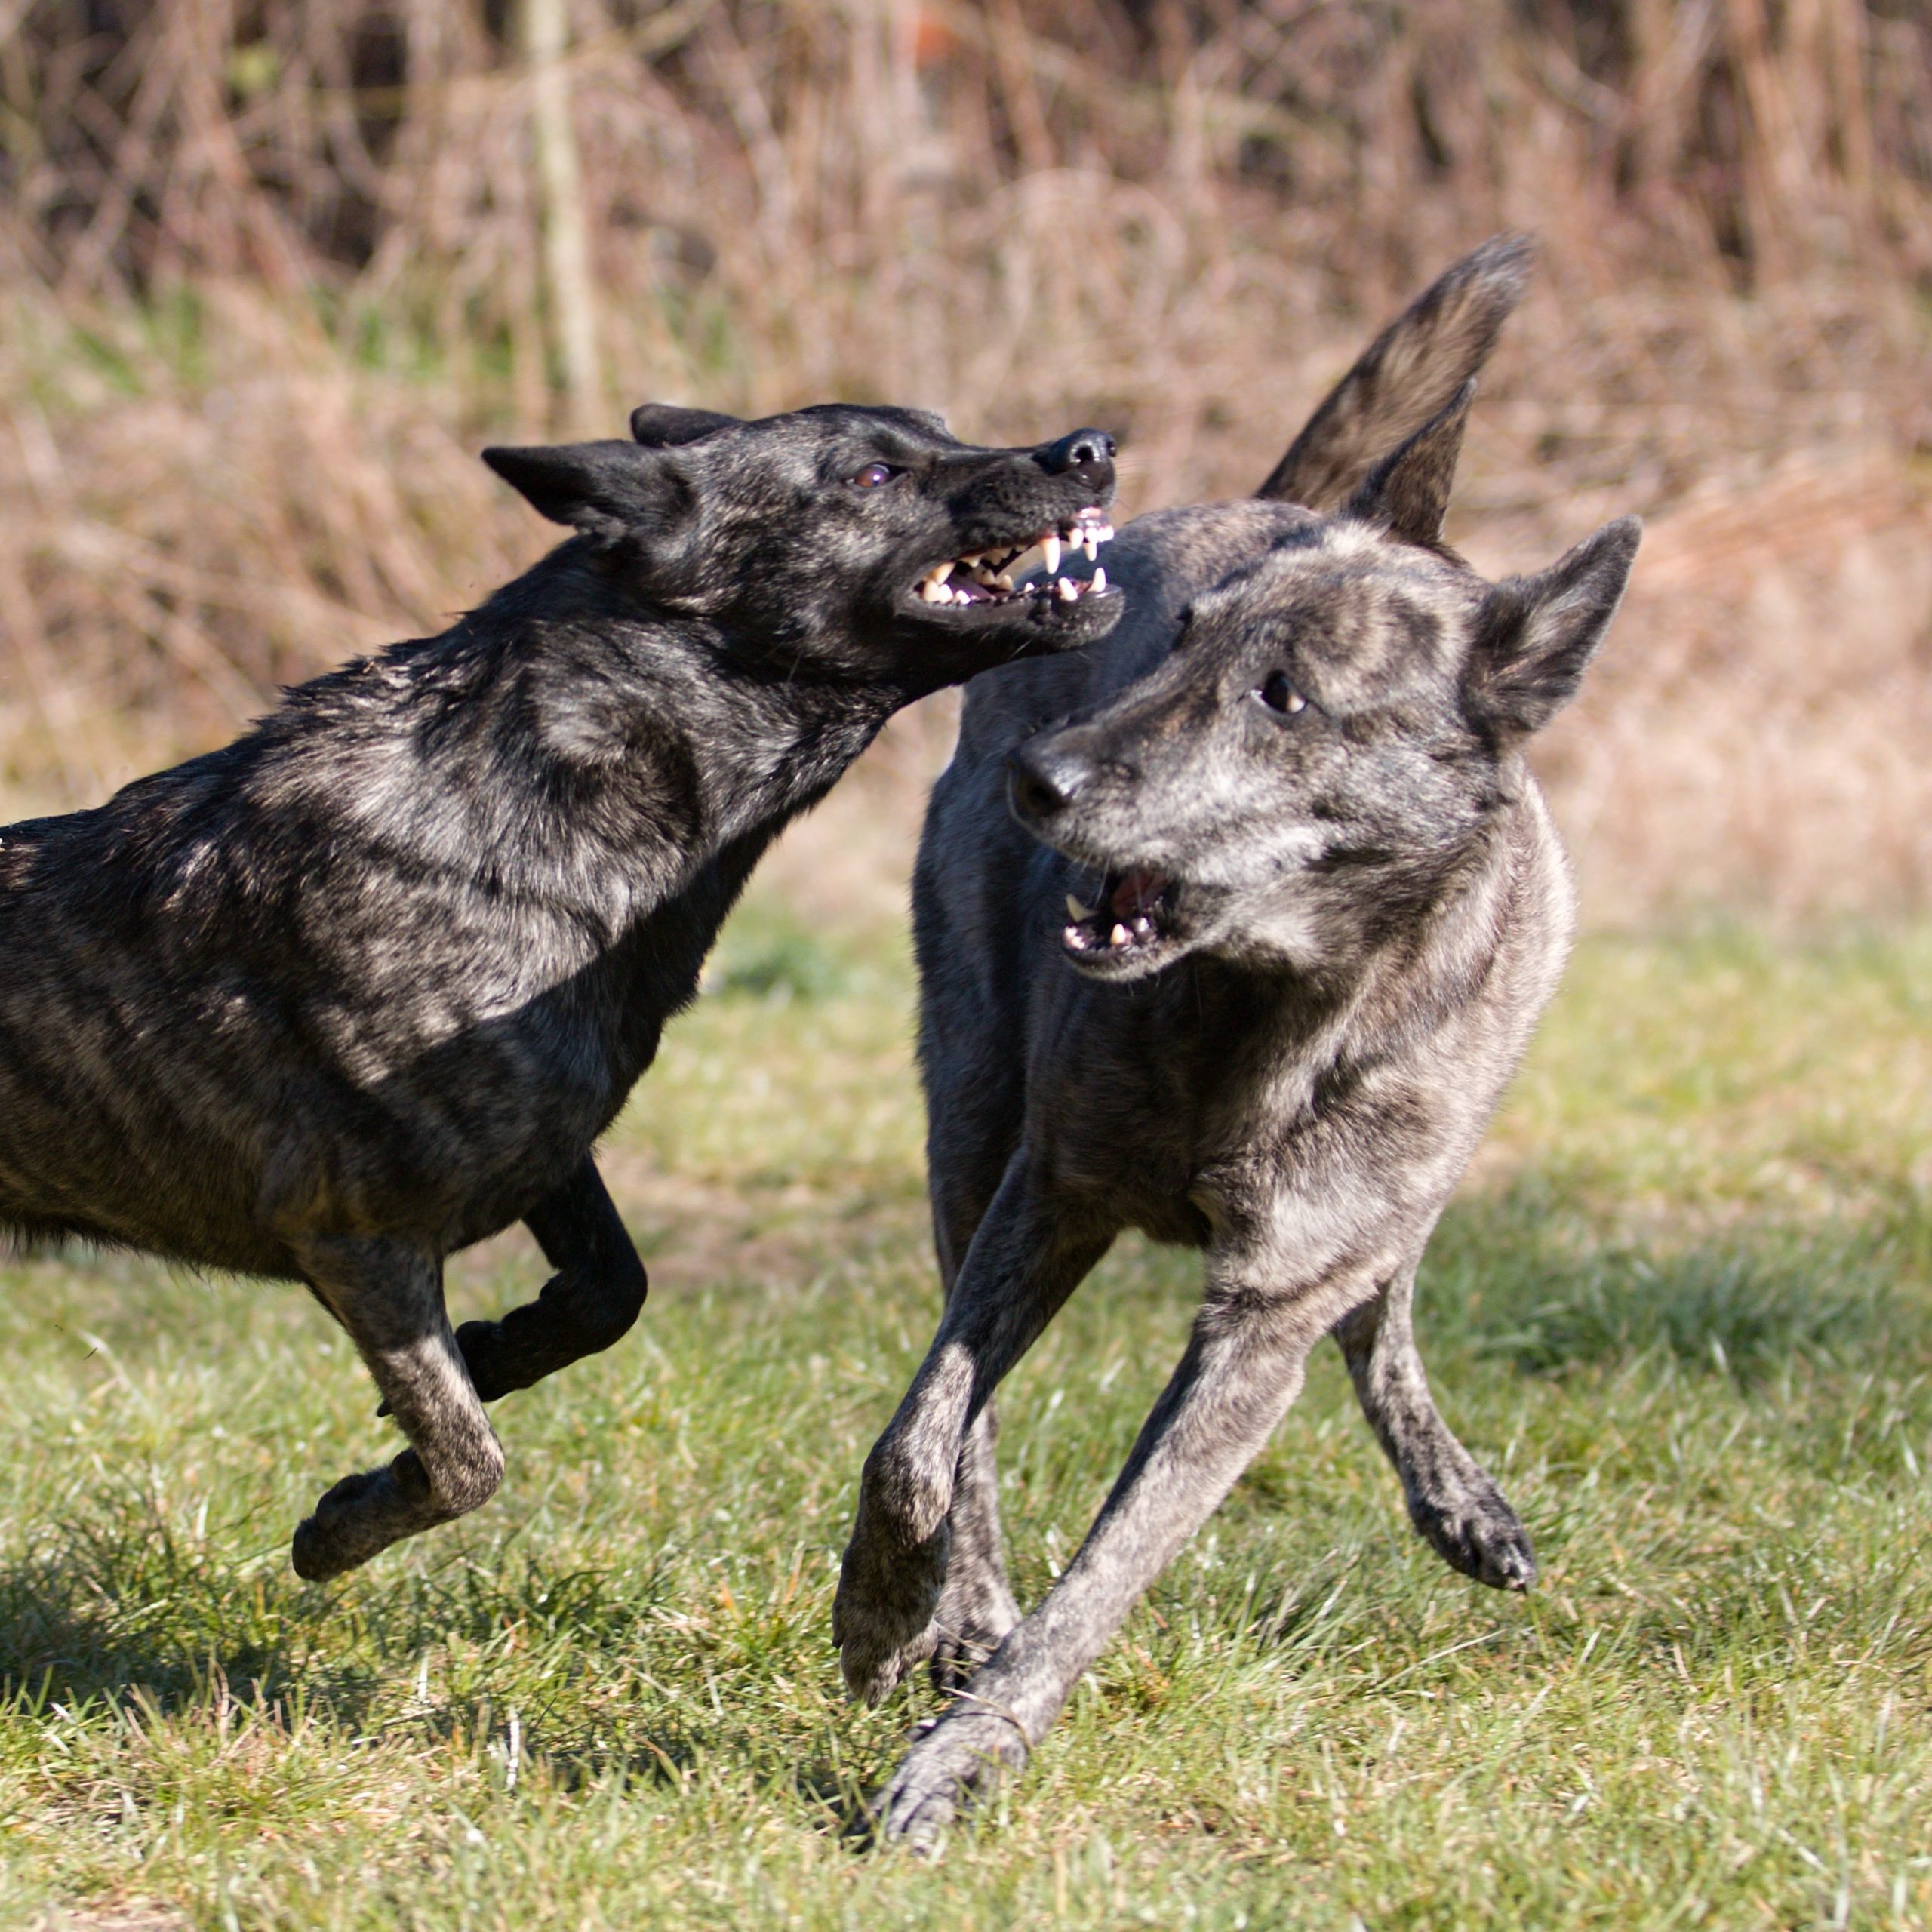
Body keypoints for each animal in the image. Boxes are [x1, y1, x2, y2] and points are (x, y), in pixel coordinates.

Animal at [0, 399, 1128, 1576]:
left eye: (939, 427)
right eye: (872, 474)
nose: (1091, 448)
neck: (537, 796)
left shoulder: (546, 1151)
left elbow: (611, 1291)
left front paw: (495, 1350)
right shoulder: (353, 1238)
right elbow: (468, 1461)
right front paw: (344, 1525)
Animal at [834, 237, 1646, 1839]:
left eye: (1286, 698)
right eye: (1182, 640)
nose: (1040, 779)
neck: (1260, 1013)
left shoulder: (1262, 1316)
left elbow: (1110, 1572)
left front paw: (970, 1753)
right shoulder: (1050, 1190)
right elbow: (921, 1438)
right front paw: (886, 1611)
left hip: (1422, 1156)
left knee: (1386, 1300)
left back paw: (1457, 1497)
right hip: (969, 1113)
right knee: (971, 1426)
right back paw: (959, 1604)